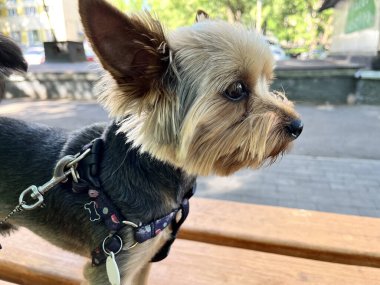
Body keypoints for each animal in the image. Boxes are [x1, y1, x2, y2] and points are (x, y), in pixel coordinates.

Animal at [0, 0, 302, 284]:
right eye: (237, 90)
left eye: (267, 81)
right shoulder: (111, 265)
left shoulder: (144, 260)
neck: (153, 168)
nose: (298, 126)